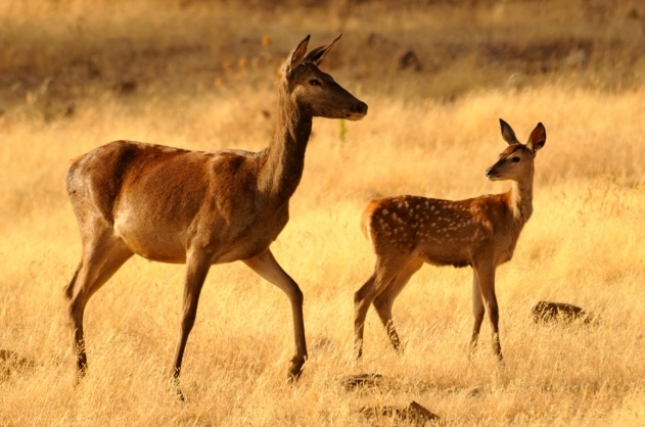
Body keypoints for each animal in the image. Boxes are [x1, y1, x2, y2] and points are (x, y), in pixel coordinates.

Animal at [65, 35, 368, 396]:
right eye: (314, 80)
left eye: (329, 74)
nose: (362, 105)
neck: (263, 188)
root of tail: (71, 171)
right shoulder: (201, 242)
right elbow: (187, 313)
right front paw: (174, 383)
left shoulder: (254, 249)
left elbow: (295, 289)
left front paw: (295, 367)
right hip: (95, 227)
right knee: (75, 295)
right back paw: (81, 372)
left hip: (122, 245)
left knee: (76, 292)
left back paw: (82, 367)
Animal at [354, 119, 544, 362]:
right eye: (500, 154)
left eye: (515, 158)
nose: (489, 171)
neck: (508, 215)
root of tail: (366, 214)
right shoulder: (485, 256)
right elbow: (493, 308)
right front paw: (499, 359)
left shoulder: (477, 261)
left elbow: (478, 309)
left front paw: (471, 354)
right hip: (390, 254)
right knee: (362, 296)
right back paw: (358, 356)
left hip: (411, 261)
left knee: (382, 299)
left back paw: (401, 352)